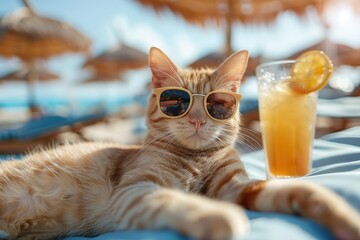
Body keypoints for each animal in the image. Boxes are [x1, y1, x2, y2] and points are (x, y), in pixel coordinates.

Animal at [0, 47, 360, 240]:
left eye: (217, 104)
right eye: (176, 102)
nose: (198, 120)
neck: (197, 159)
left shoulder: (236, 187)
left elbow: (299, 191)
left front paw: (343, 217)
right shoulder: (136, 190)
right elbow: (177, 201)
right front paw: (218, 218)